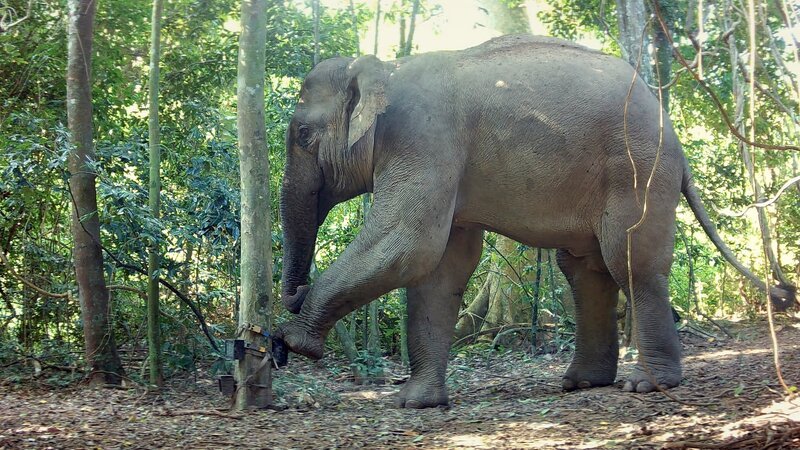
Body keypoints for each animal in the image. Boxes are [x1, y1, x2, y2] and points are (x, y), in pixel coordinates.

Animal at [275, 34, 794, 408]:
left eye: (302, 134)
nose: (294, 295)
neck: (386, 66)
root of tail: (678, 142)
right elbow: (441, 267)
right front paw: (414, 403)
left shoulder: (423, 140)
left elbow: (408, 242)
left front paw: (295, 339)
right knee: (584, 268)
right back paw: (582, 383)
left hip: (638, 170)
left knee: (630, 260)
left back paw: (645, 386)